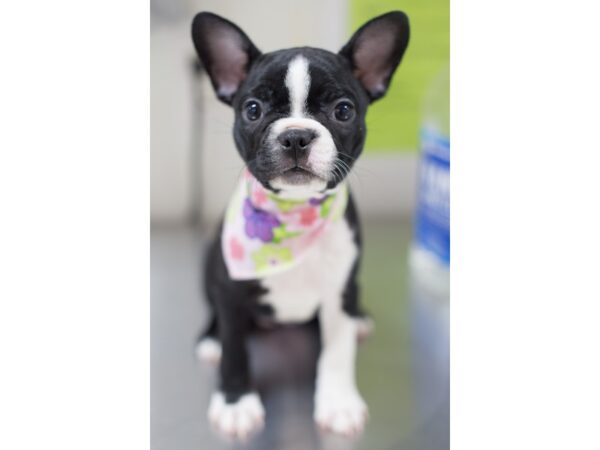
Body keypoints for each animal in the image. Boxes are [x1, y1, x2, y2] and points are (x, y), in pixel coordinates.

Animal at [191, 10, 408, 438]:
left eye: (343, 111)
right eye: (253, 110)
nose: (296, 136)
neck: (293, 214)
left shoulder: (339, 290)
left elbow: (337, 353)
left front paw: (338, 403)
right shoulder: (231, 291)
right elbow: (235, 351)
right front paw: (236, 402)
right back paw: (210, 339)